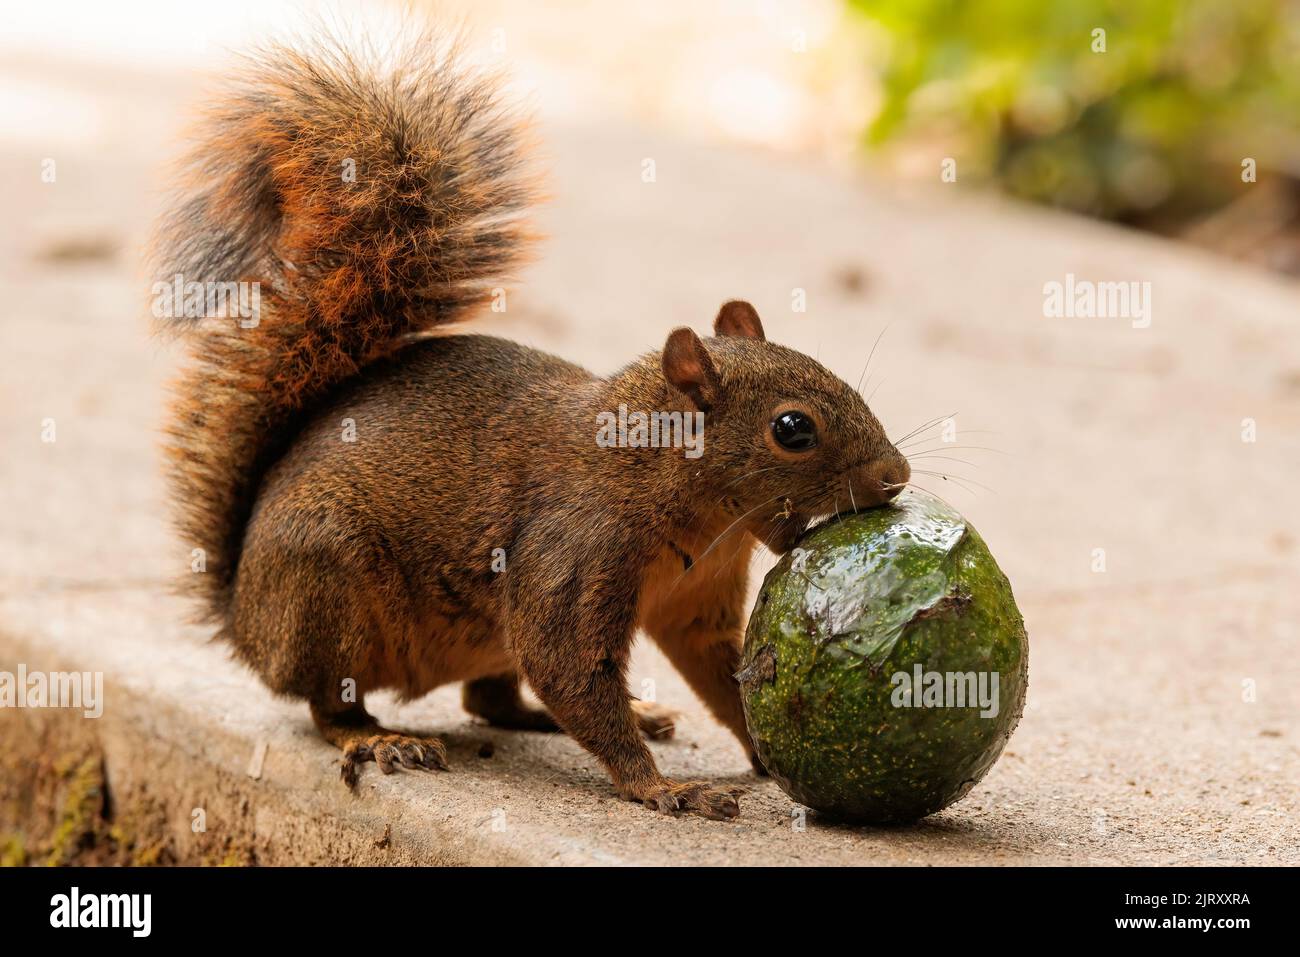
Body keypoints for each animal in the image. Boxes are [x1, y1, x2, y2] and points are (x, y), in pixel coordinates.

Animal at [154, 33, 904, 816]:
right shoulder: (576, 549)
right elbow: (566, 661)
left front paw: (752, 752)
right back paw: (381, 739)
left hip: (472, 634)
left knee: (490, 701)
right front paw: (662, 787)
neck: (682, 496)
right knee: (331, 705)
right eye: (792, 429)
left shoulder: (698, 604)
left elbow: (724, 676)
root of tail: (245, 620)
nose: (897, 476)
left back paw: (612, 714)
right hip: (330, 593)